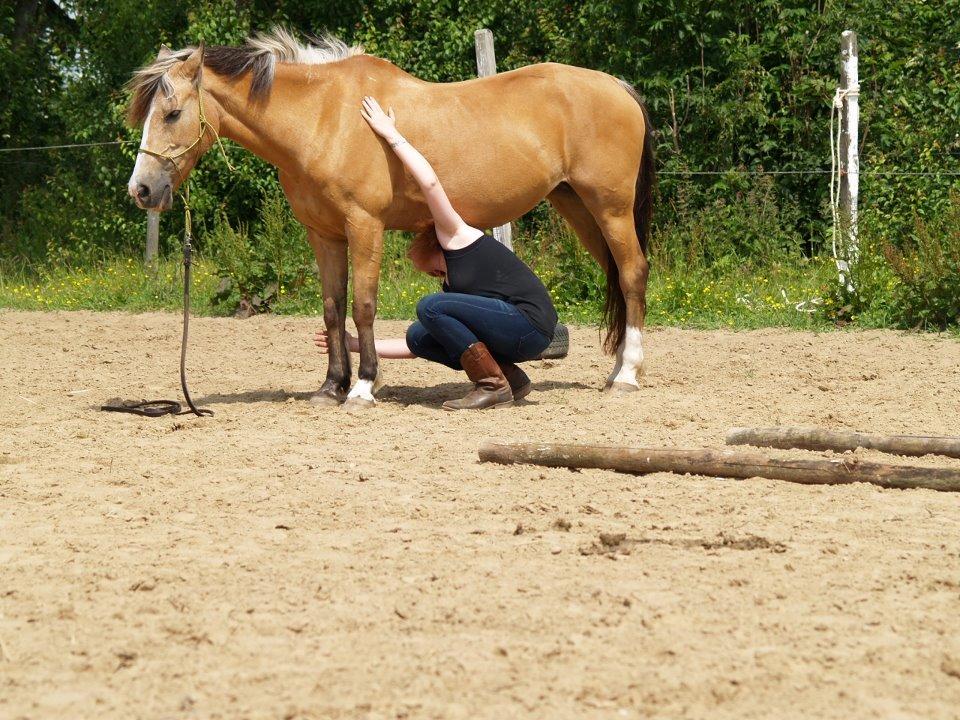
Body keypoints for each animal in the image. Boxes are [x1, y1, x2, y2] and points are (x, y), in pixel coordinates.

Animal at [125, 28, 652, 408]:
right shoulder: (324, 235)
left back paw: (627, 376)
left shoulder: (365, 225)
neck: (324, 119)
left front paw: (362, 387)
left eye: (171, 113)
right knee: (616, 275)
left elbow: (363, 306)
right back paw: (610, 372)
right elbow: (333, 308)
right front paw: (330, 387)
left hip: (610, 208)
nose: (142, 190)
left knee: (631, 274)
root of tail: (618, 86)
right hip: (577, 206)